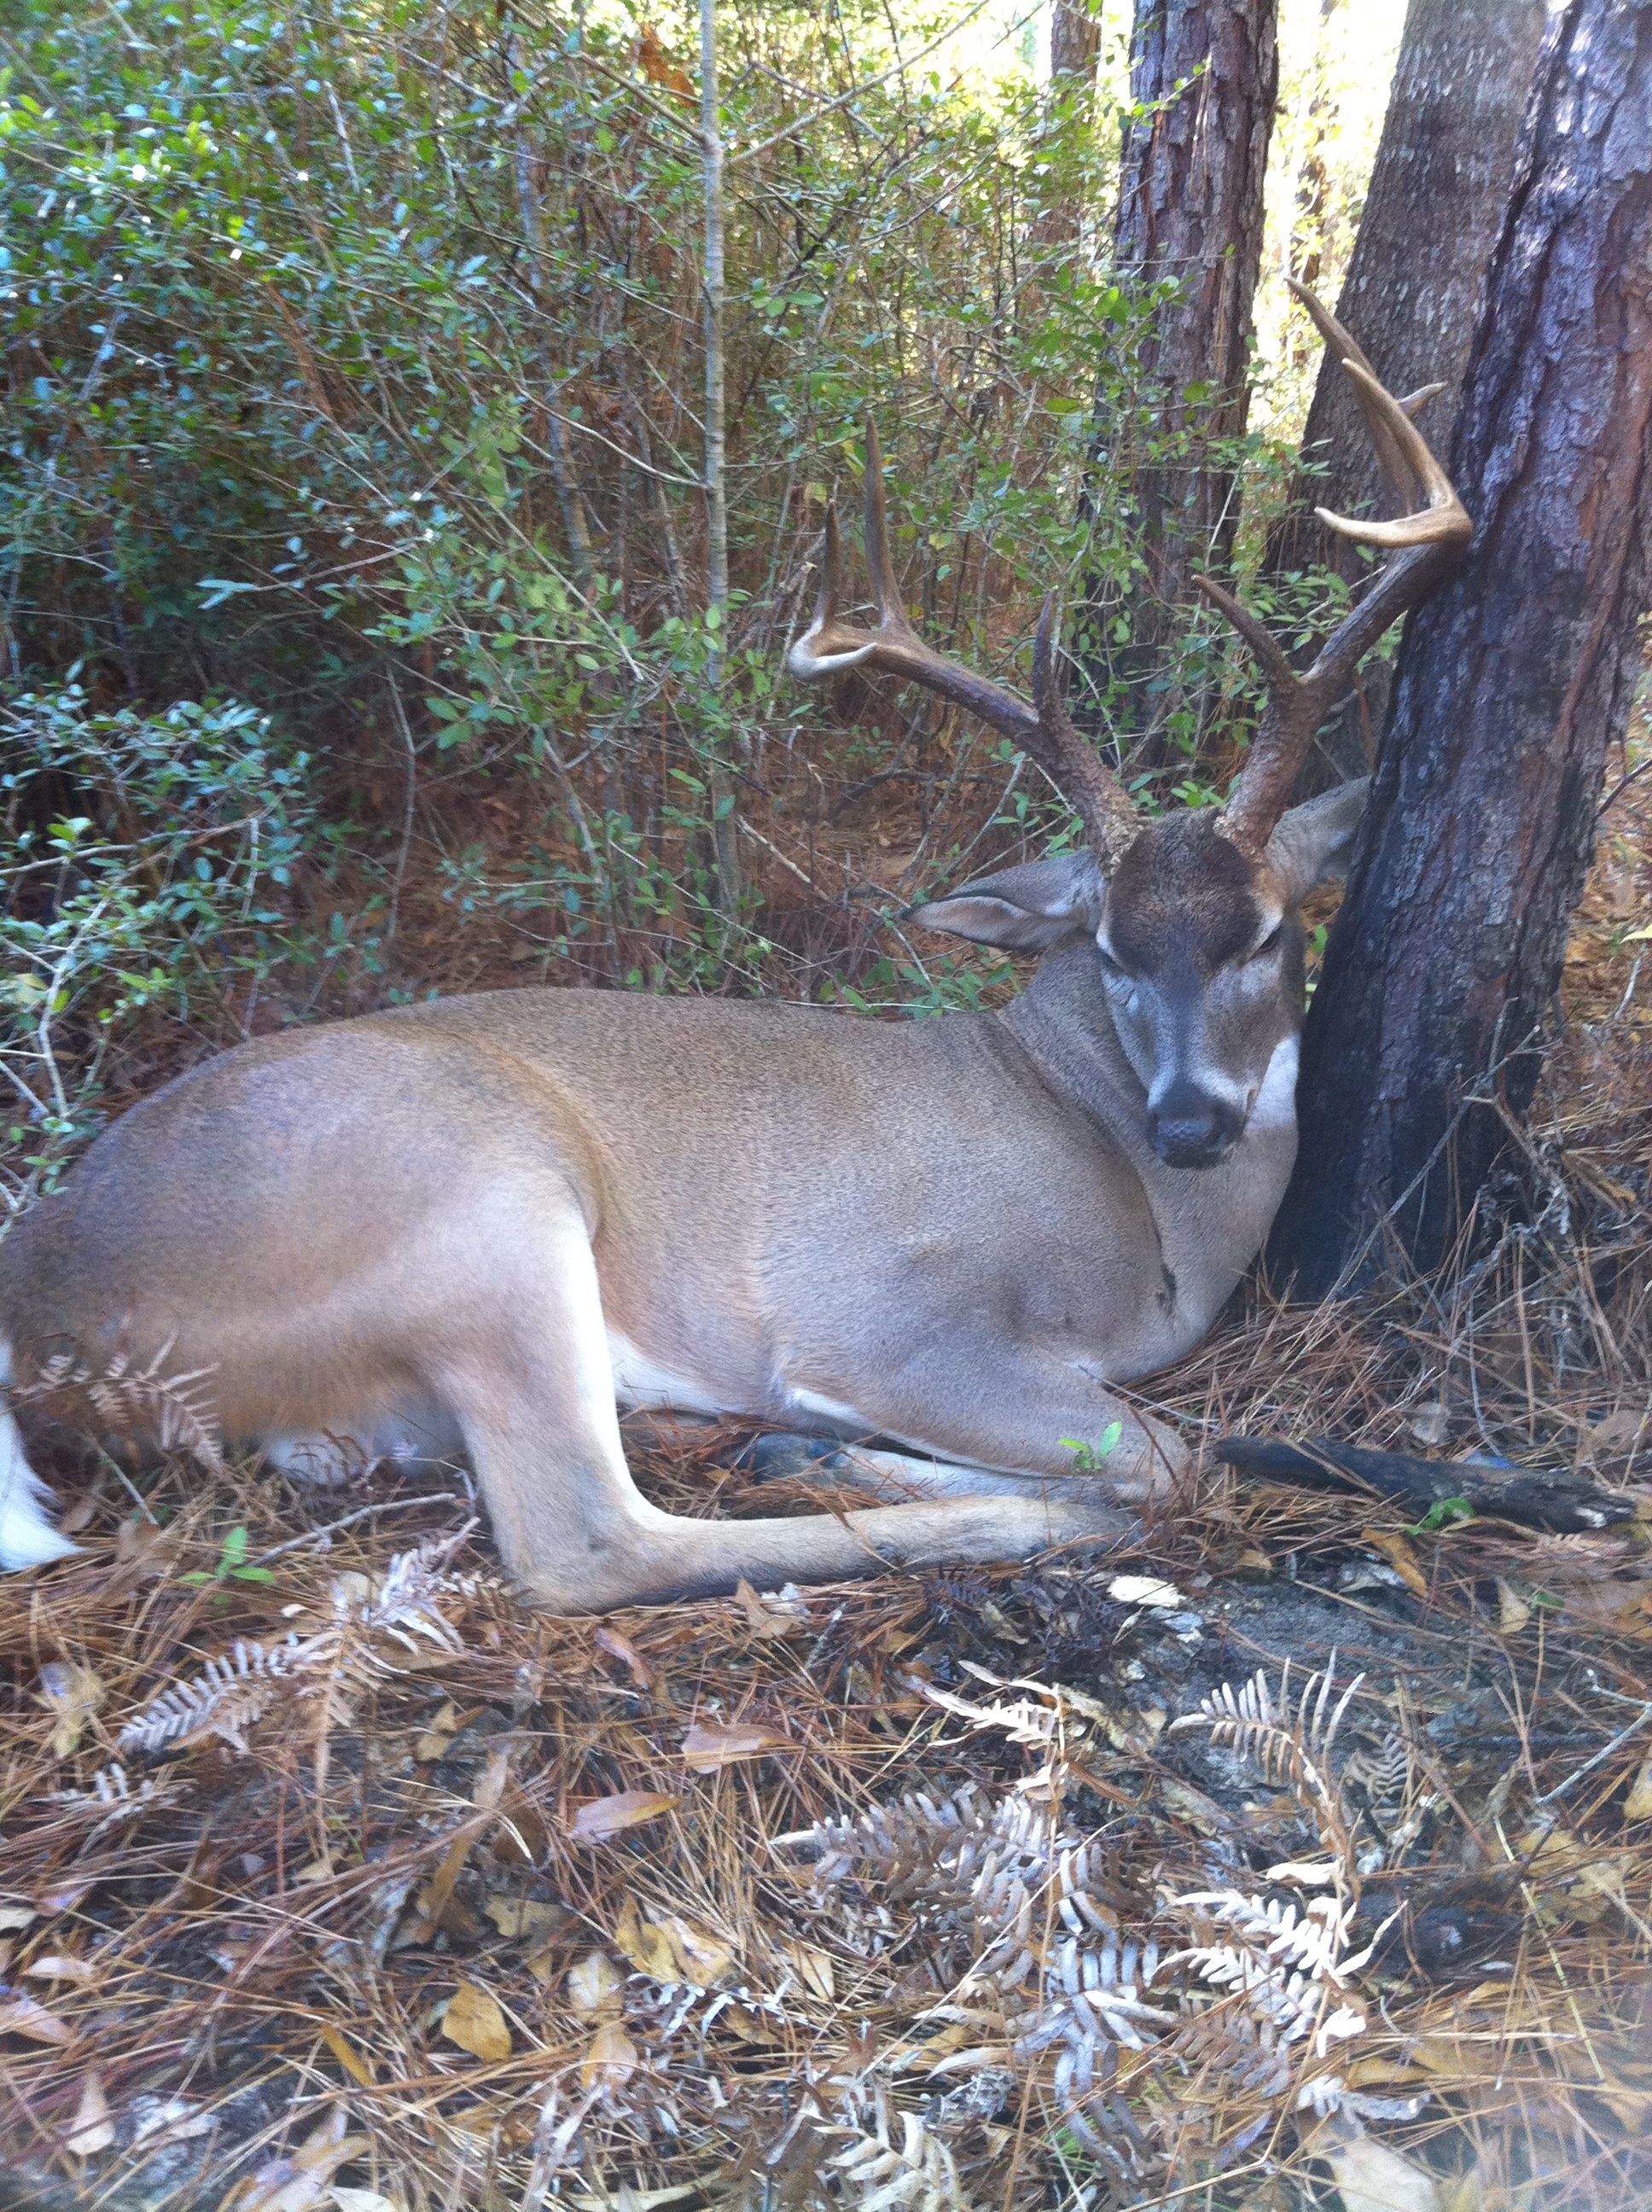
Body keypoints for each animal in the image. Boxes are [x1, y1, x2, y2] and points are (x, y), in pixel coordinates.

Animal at [0, 284, 1470, 1610]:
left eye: (1268, 932)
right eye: (1109, 948)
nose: (1189, 1124)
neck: (1129, 1189)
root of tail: (45, 1301)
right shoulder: (883, 1311)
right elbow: (1166, 1455)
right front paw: (848, 1445)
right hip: (483, 1199)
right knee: (586, 1545)